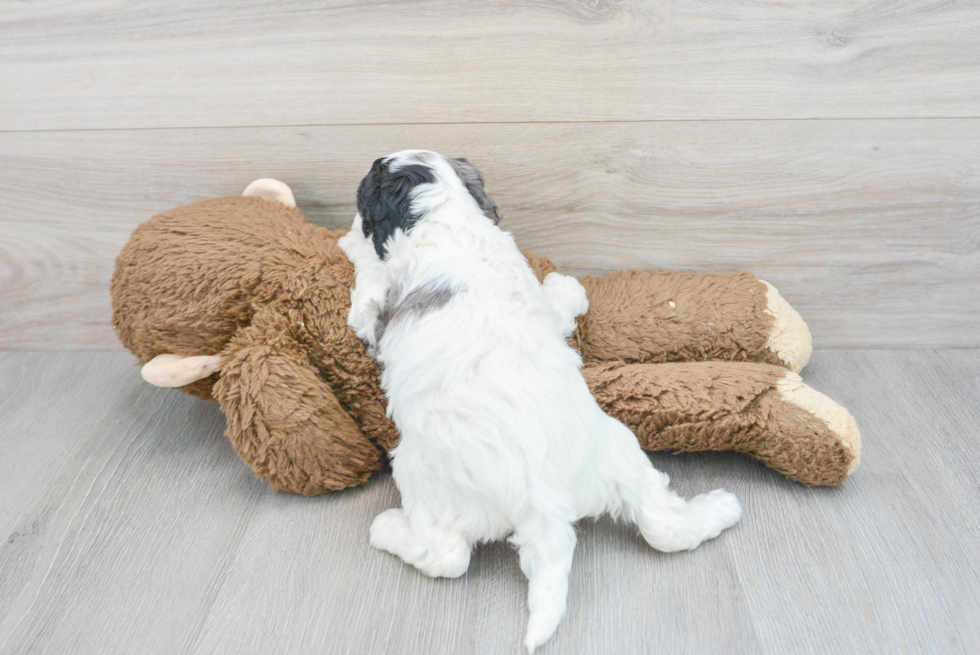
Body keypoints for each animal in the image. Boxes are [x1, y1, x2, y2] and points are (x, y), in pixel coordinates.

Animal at [338, 151, 744, 652]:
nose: (371, 163)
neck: (448, 215)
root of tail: (544, 501)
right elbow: (557, 309)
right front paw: (569, 288)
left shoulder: (372, 310)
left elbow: (367, 279)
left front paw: (351, 239)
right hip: (619, 450)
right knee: (662, 523)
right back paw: (721, 509)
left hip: (423, 478)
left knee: (447, 556)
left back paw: (388, 529)